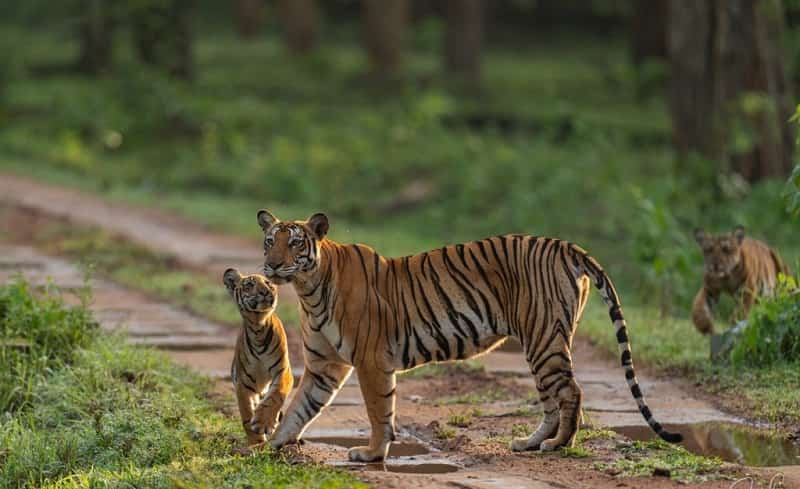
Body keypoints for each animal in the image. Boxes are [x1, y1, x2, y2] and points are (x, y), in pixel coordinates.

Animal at [260, 211, 680, 462]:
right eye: (269, 241)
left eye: (294, 243)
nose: (272, 265)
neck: (309, 289)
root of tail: (565, 246)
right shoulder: (323, 366)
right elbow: (300, 408)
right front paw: (270, 443)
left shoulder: (371, 361)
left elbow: (379, 411)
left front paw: (372, 454)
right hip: (542, 344)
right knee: (552, 398)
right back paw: (530, 443)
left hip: (544, 340)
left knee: (572, 392)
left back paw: (559, 445)